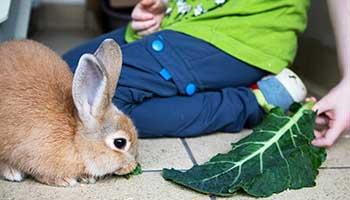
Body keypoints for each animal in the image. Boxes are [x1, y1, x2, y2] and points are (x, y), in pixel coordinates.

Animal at [0, 38, 138, 187]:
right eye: (120, 142)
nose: (133, 166)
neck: (75, 139)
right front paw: (65, 180)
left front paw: (86, 178)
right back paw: (12, 172)